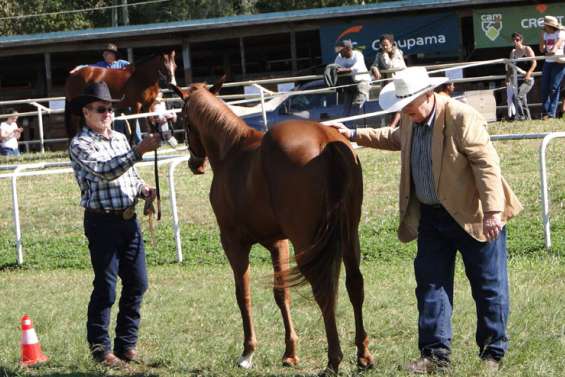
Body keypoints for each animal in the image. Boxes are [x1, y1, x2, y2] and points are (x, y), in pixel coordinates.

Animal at [172, 82, 374, 374]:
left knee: (324, 292)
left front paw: (247, 352)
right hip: (349, 236)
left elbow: (242, 294)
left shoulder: (233, 243)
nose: (194, 163)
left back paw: (333, 359)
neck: (233, 150)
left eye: (183, 120)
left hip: (307, 243)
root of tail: (325, 140)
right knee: (355, 284)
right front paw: (290, 352)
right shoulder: (278, 243)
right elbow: (281, 293)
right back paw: (363, 354)